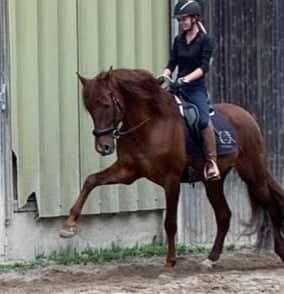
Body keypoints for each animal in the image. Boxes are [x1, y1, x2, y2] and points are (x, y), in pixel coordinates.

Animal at [60, 68, 284, 268]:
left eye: (106, 104)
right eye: (89, 108)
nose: (103, 147)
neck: (148, 125)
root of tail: (247, 116)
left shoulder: (171, 179)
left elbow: (170, 223)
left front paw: (170, 262)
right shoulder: (127, 172)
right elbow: (91, 180)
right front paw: (69, 225)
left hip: (252, 174)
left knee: (272, 207)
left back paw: (279, 252)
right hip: (213, 181)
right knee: (224, 215)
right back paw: (210, 259)